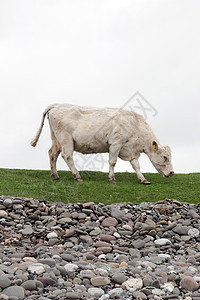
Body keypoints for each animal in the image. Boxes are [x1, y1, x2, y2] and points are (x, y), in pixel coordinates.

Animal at [30, 103, 174, 184]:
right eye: (165, 157)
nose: (172, 172)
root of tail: (57, 105)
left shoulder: (131, 150)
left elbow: (136, 165)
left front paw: (143, 179)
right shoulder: (116, 143)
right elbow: (113, 161)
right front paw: (112, 178)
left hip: (56, 139)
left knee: (52, 153)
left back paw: (55, 175)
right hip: (66, 138)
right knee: (67, 156)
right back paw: (77, 176)